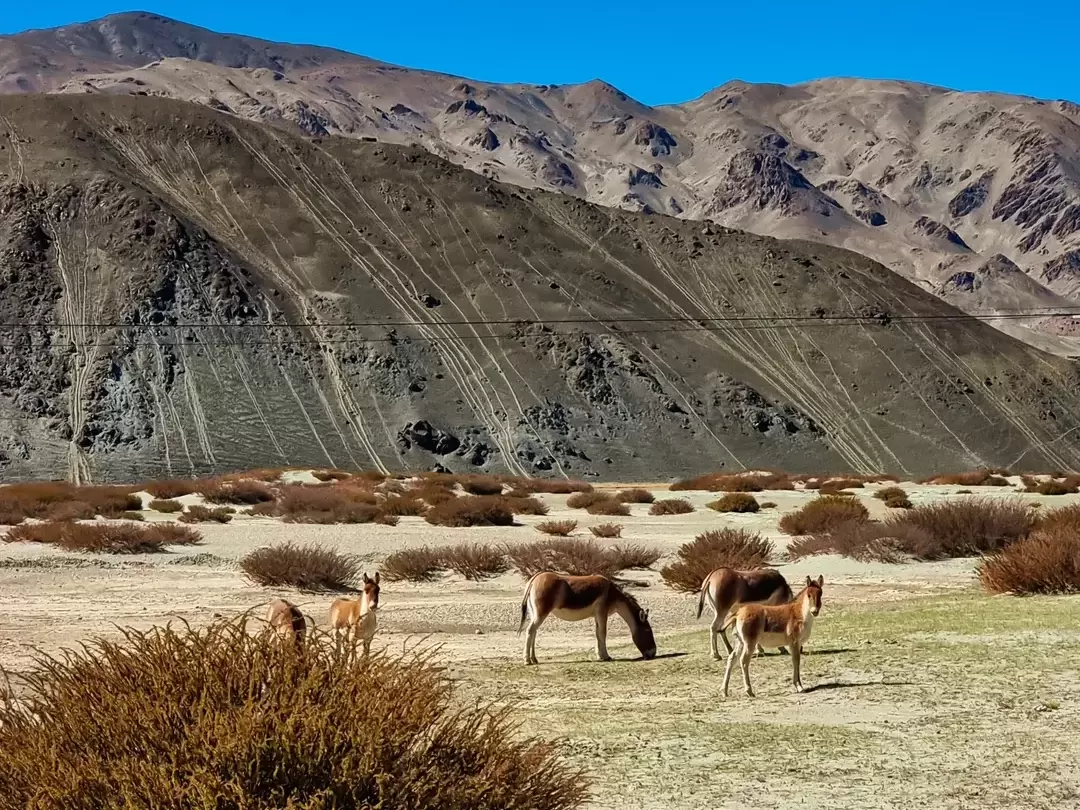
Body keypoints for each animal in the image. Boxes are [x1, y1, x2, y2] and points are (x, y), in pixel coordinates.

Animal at [517, 571, 656, 665]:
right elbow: (603, 633)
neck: (612, 592)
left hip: (534, 613)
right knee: (530, 630)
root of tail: (535, 578)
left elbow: (597, 634)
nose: (653, 653)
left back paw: (534, 659)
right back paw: (527, 660)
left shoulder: (597, 615)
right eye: (648, 631)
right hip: (541, 613)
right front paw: (606, 656)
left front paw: (600, 656)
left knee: (534, 632)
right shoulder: (602, 612)